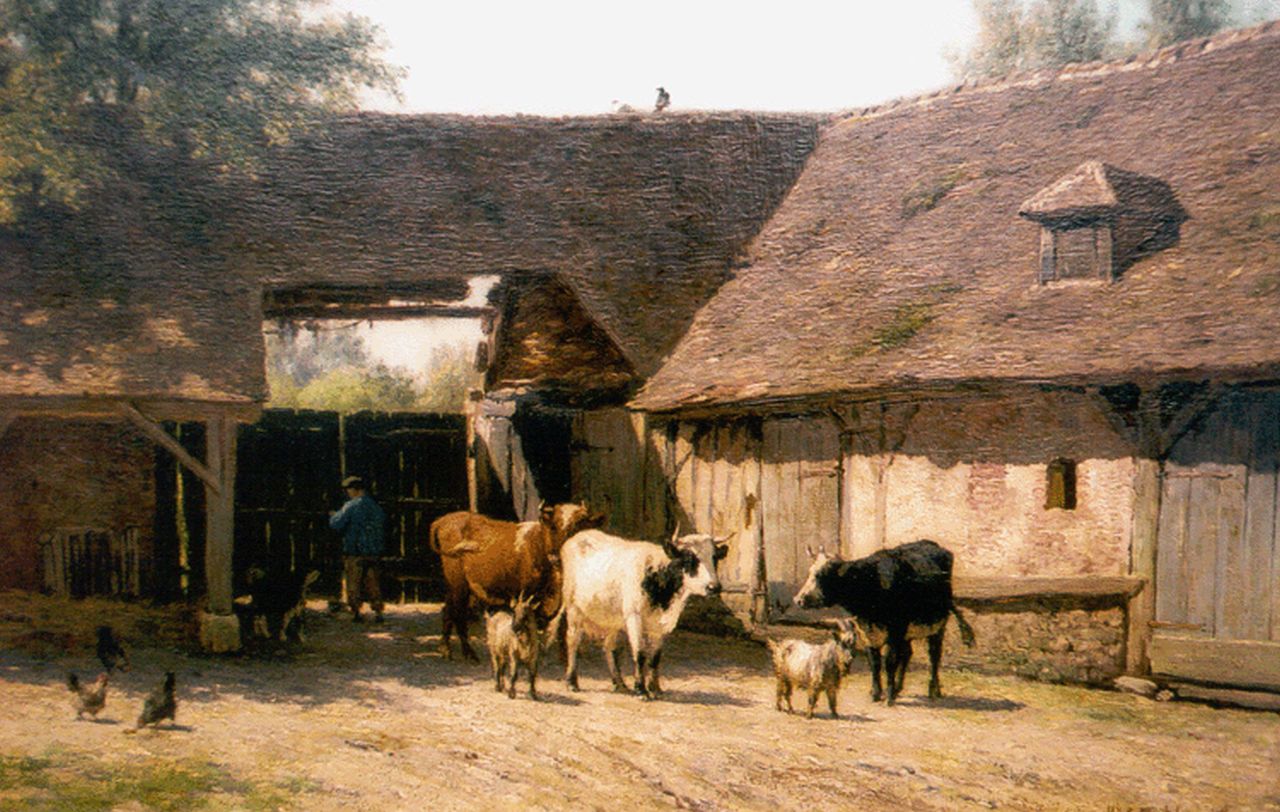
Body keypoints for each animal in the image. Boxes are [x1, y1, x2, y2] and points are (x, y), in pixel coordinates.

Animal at [430, 499, 604, 655]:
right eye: (554, 526)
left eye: (579, 526)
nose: (558, 556)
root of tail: (442, 521)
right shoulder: (526, 595)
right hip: (459, 586)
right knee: (458, 613)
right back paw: (469, 654)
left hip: (453, 586)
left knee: (448, 610)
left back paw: (445, 649)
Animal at [793, 537, 972, 701]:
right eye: (810, 572)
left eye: (822, 575)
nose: (799, 600)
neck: (873, 582)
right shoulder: (866, 631)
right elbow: (874, 662)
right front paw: (877, 693)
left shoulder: (895, 630)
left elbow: (889, 662)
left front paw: (889, 696)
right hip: (908, 632)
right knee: (907, 653)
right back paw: (899, 687)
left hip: (938, 625)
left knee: (934, 655)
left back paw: (933, 690)